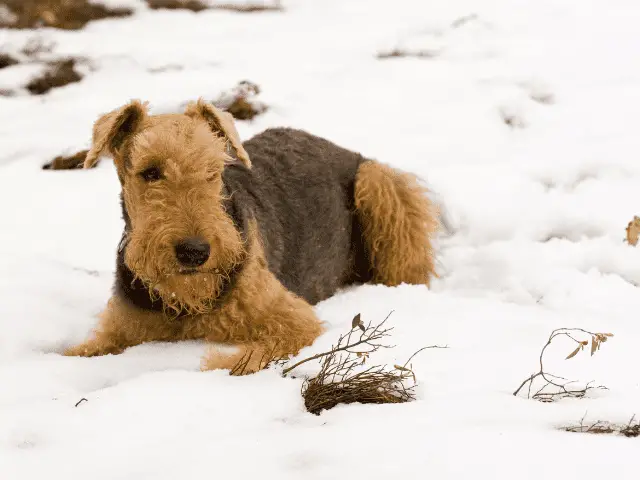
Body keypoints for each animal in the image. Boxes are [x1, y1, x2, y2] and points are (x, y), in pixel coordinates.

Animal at [63, 98, 440, 376]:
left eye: (214, 171)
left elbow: (242, 362)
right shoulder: (119, 330)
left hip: (376, 182)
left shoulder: (293, 320)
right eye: (150, 172)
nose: (194, 251)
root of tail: (342, 148)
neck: (186, 303)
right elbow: (82, 351)